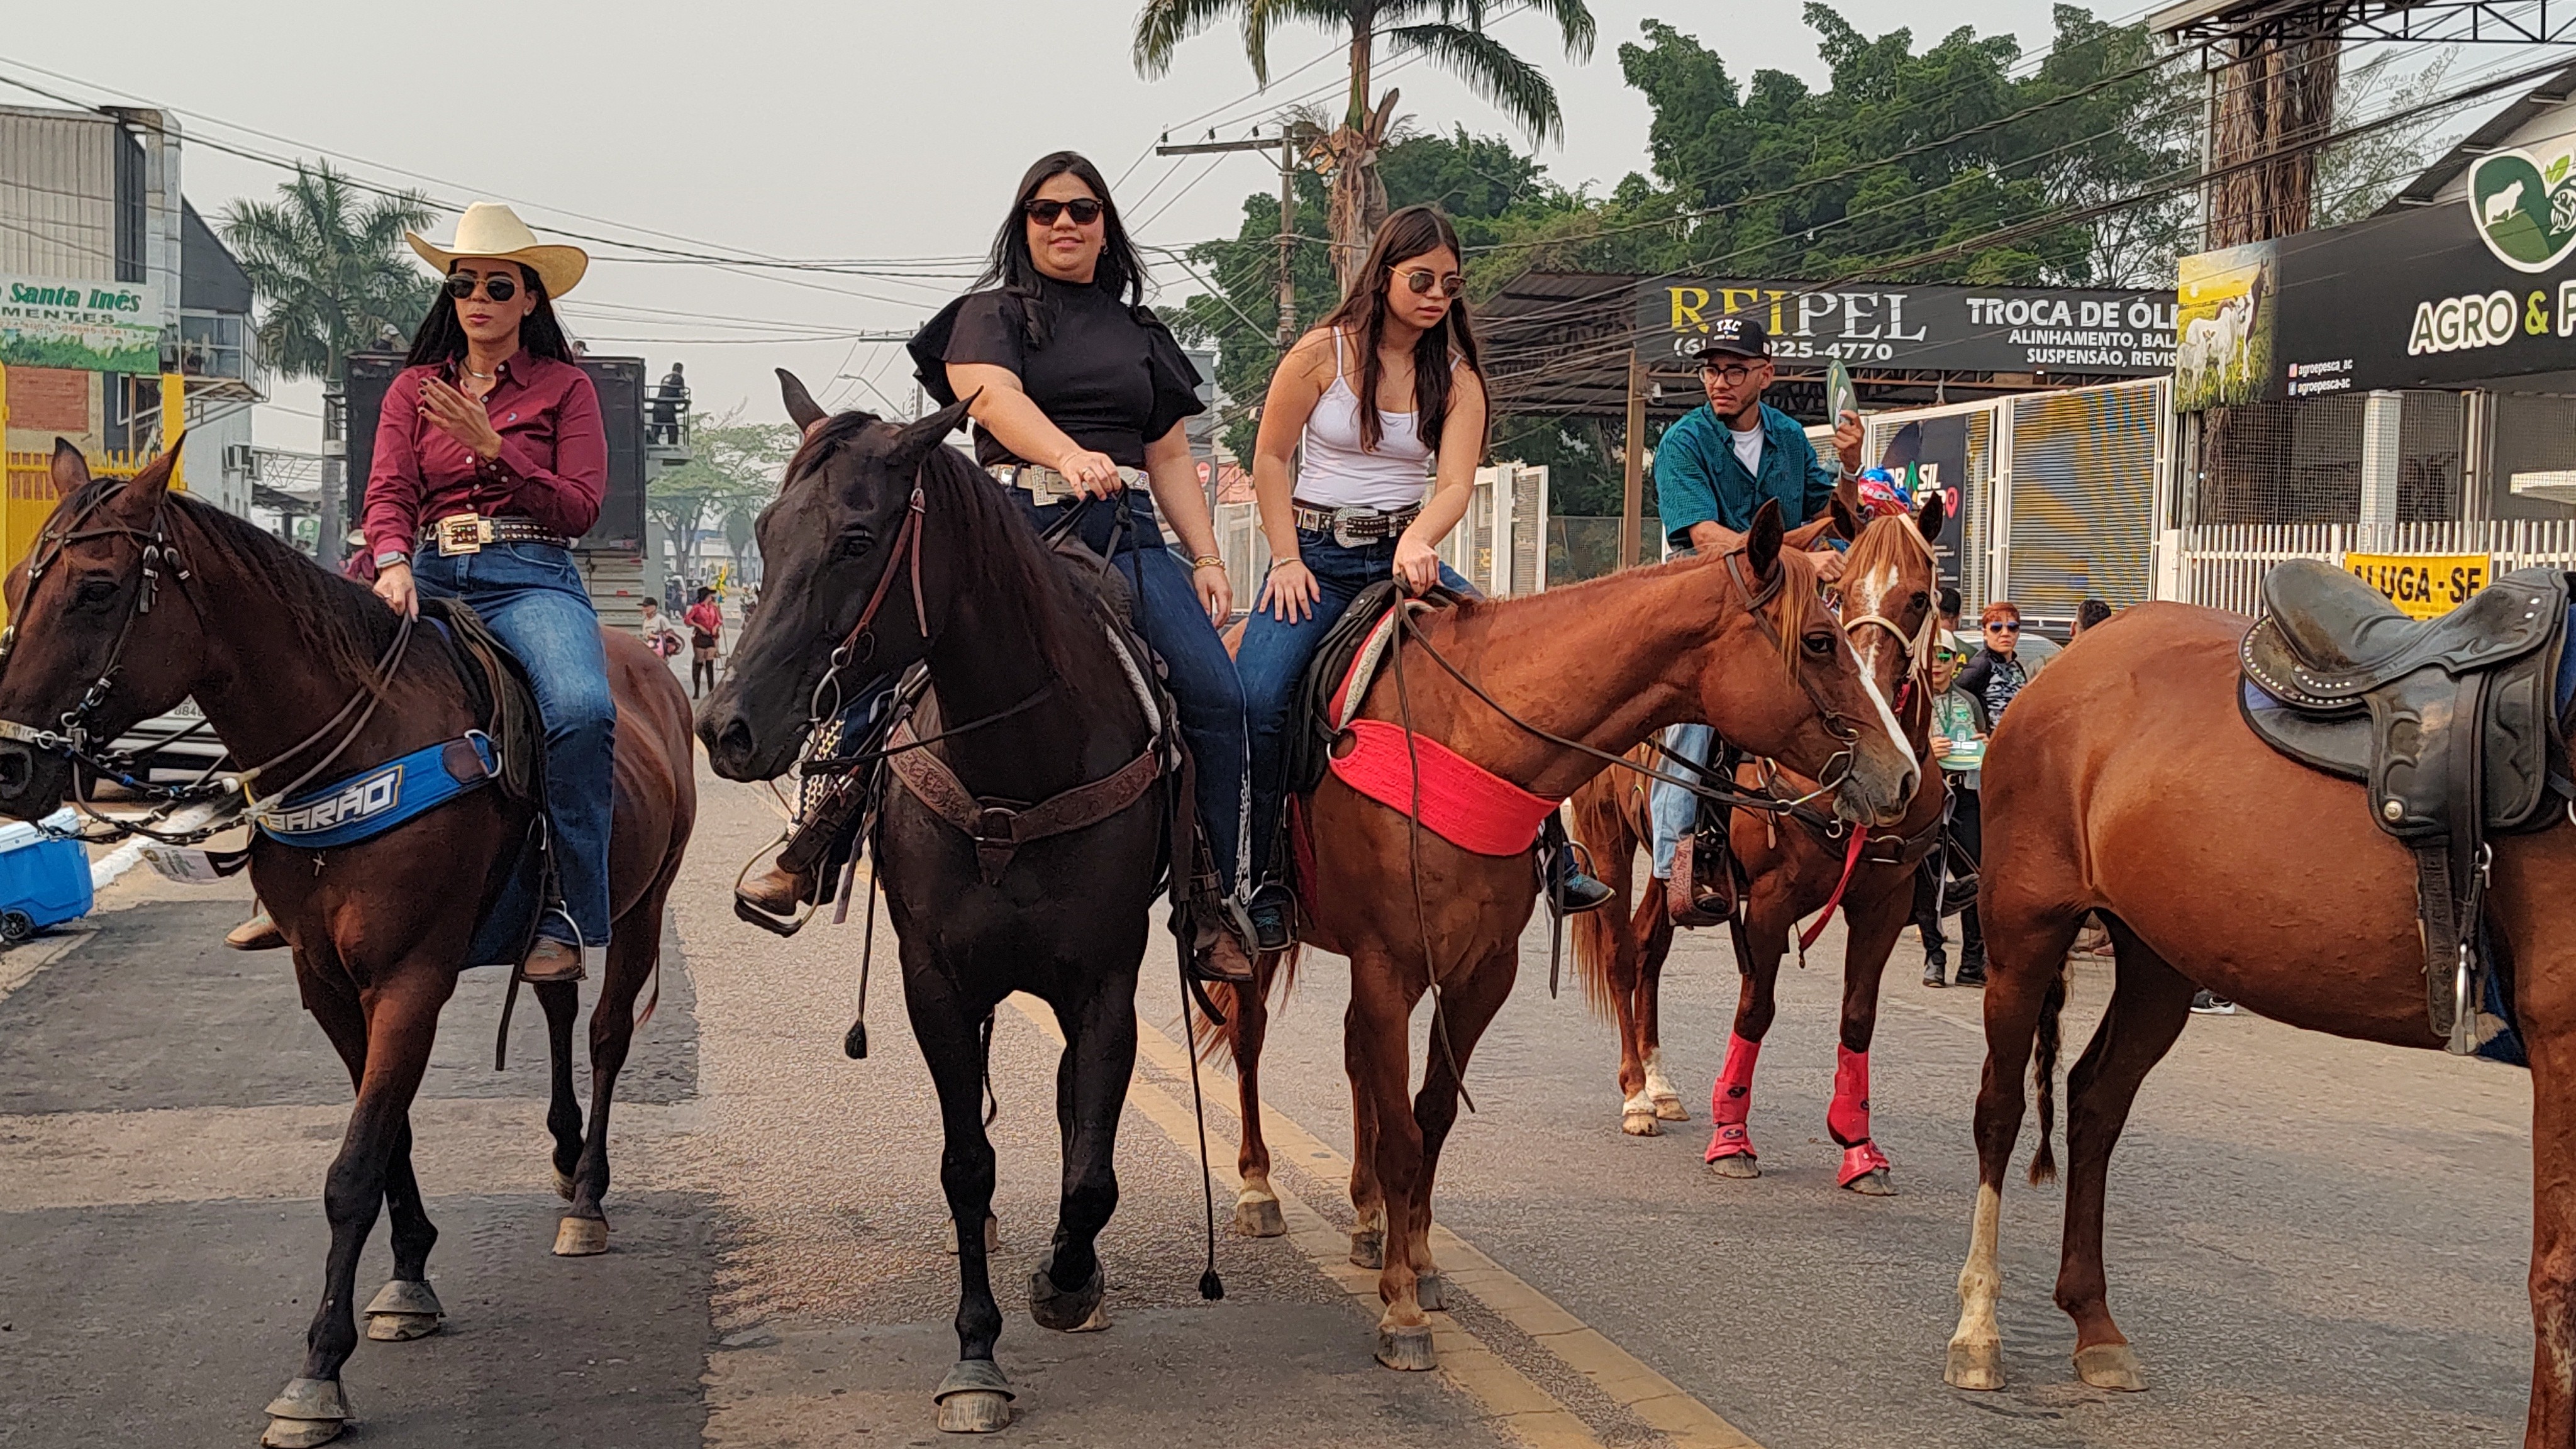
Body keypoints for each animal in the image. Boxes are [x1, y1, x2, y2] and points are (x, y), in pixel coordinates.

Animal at [0, 443, 695, 1443]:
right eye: (16, 580)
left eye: (96, 590)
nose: (11, 762)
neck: (358, 751)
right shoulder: (324, 980)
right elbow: (389, 1136)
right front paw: (408, 1279)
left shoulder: (411, 979)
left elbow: (355, 1165)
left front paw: (319, 1372)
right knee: (556, 993)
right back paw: (566, 1158)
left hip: (644, 902)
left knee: (605, 1036)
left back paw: (591, 1195)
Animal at [1555, 489, 1937, 1191]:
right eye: (1841, 592)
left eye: (1919, 598)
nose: (1871, 694)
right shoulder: (1769, 900)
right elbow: (1754, 1011)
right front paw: (1731, 1137)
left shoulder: (1884, 902)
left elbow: (1858, 1018)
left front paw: (1859, 1146)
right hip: (1607, 839)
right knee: (1622, 955)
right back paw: (1636, 1093)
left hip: (1674, 870)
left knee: (1649, 948)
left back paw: (1660, 1083)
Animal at [1937, 598, 2576, 1443]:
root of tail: (2070, 661)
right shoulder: (2562, 1037)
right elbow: (2558, 1276)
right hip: (2024, 932)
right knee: (2000, 1112)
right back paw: (1978, 1330)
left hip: (2159, 957)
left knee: (2096, 1100)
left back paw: (2095, 1325)